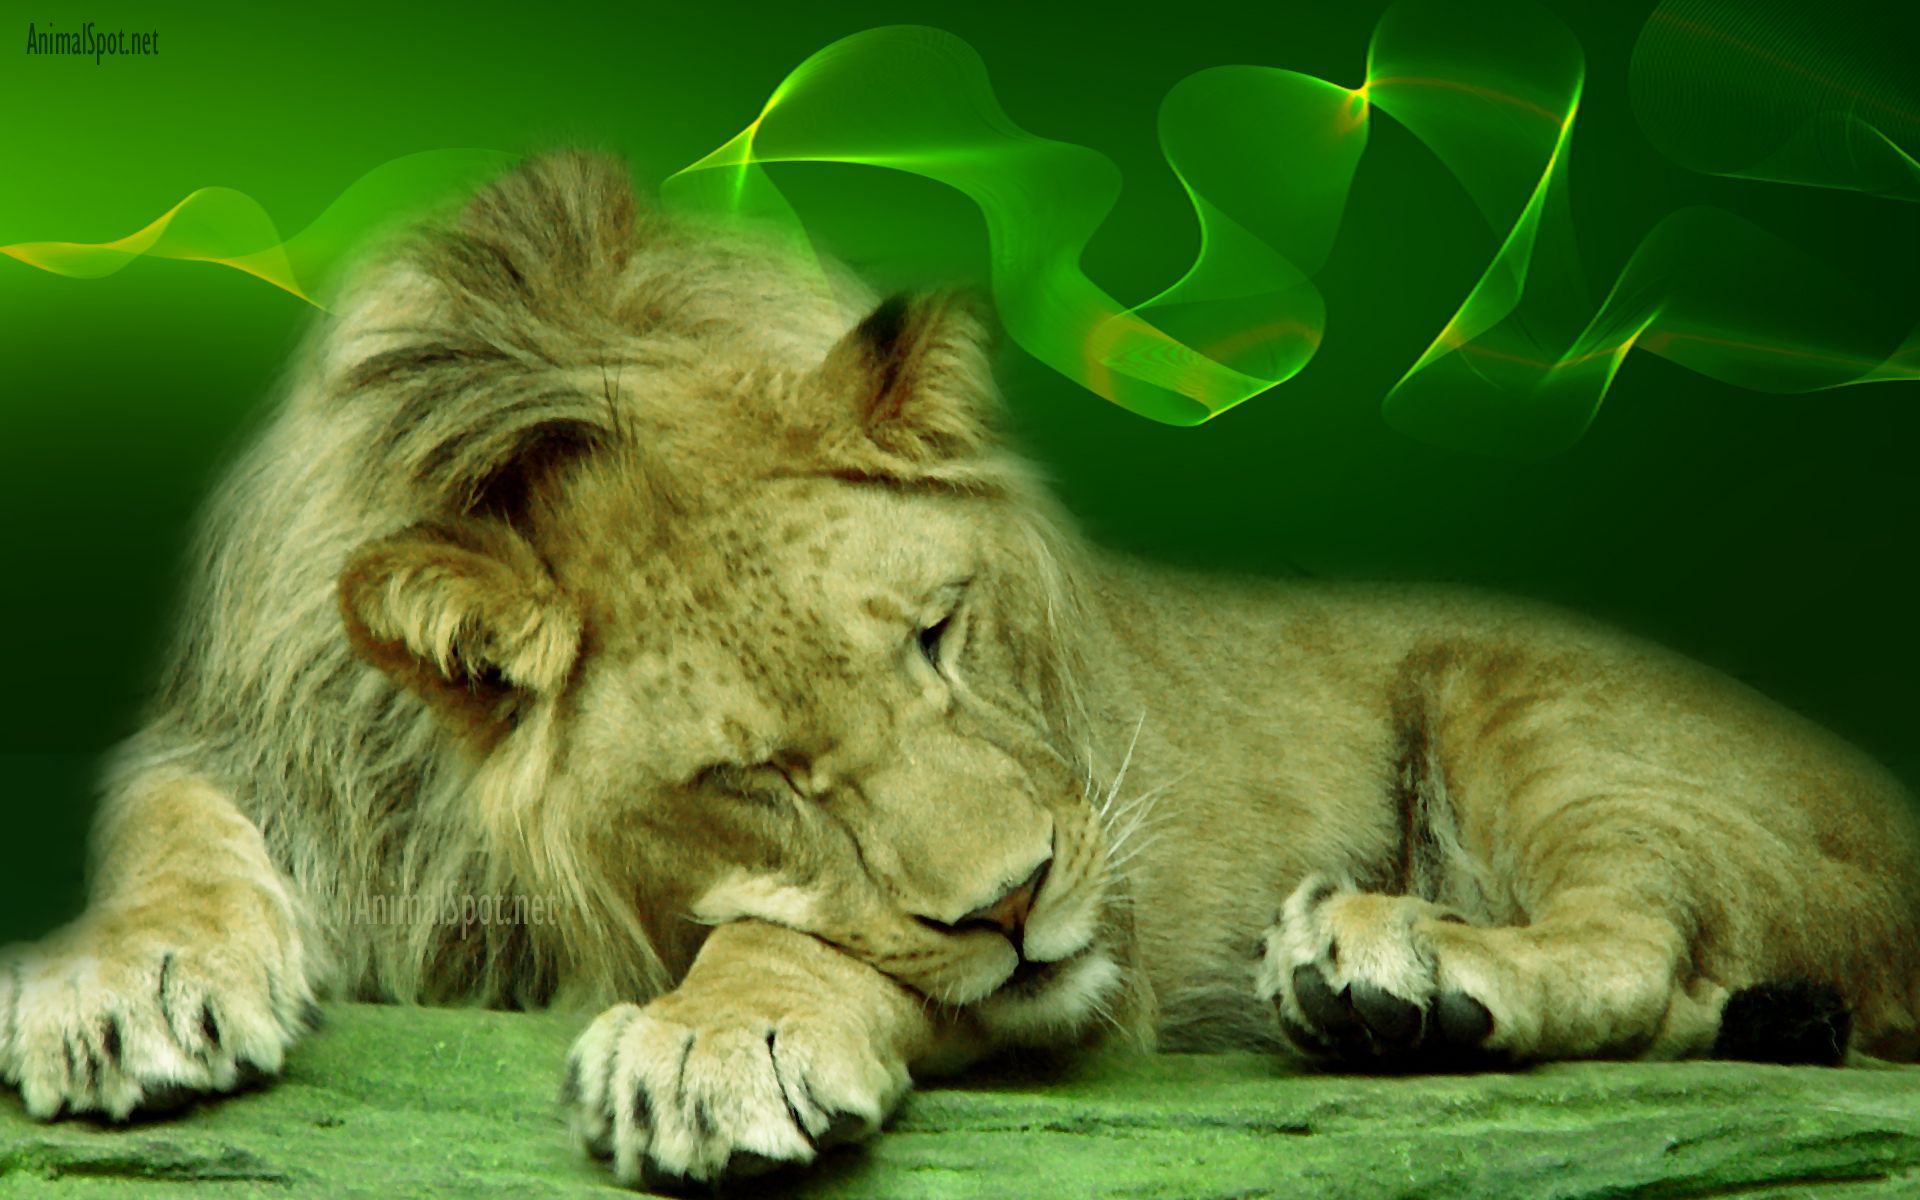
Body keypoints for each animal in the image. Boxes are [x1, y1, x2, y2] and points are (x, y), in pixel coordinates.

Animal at [4, 151, 1918, 1188]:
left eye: (939, 633)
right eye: (750, 775)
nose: (1012, 902)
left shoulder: (1101, 938)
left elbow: (818, 945)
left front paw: (725, 1039)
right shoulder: (261, 733)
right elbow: (161, 818)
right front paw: (119, 984)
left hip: (1524, 698)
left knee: (1651, 945)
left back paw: (1393, 968)